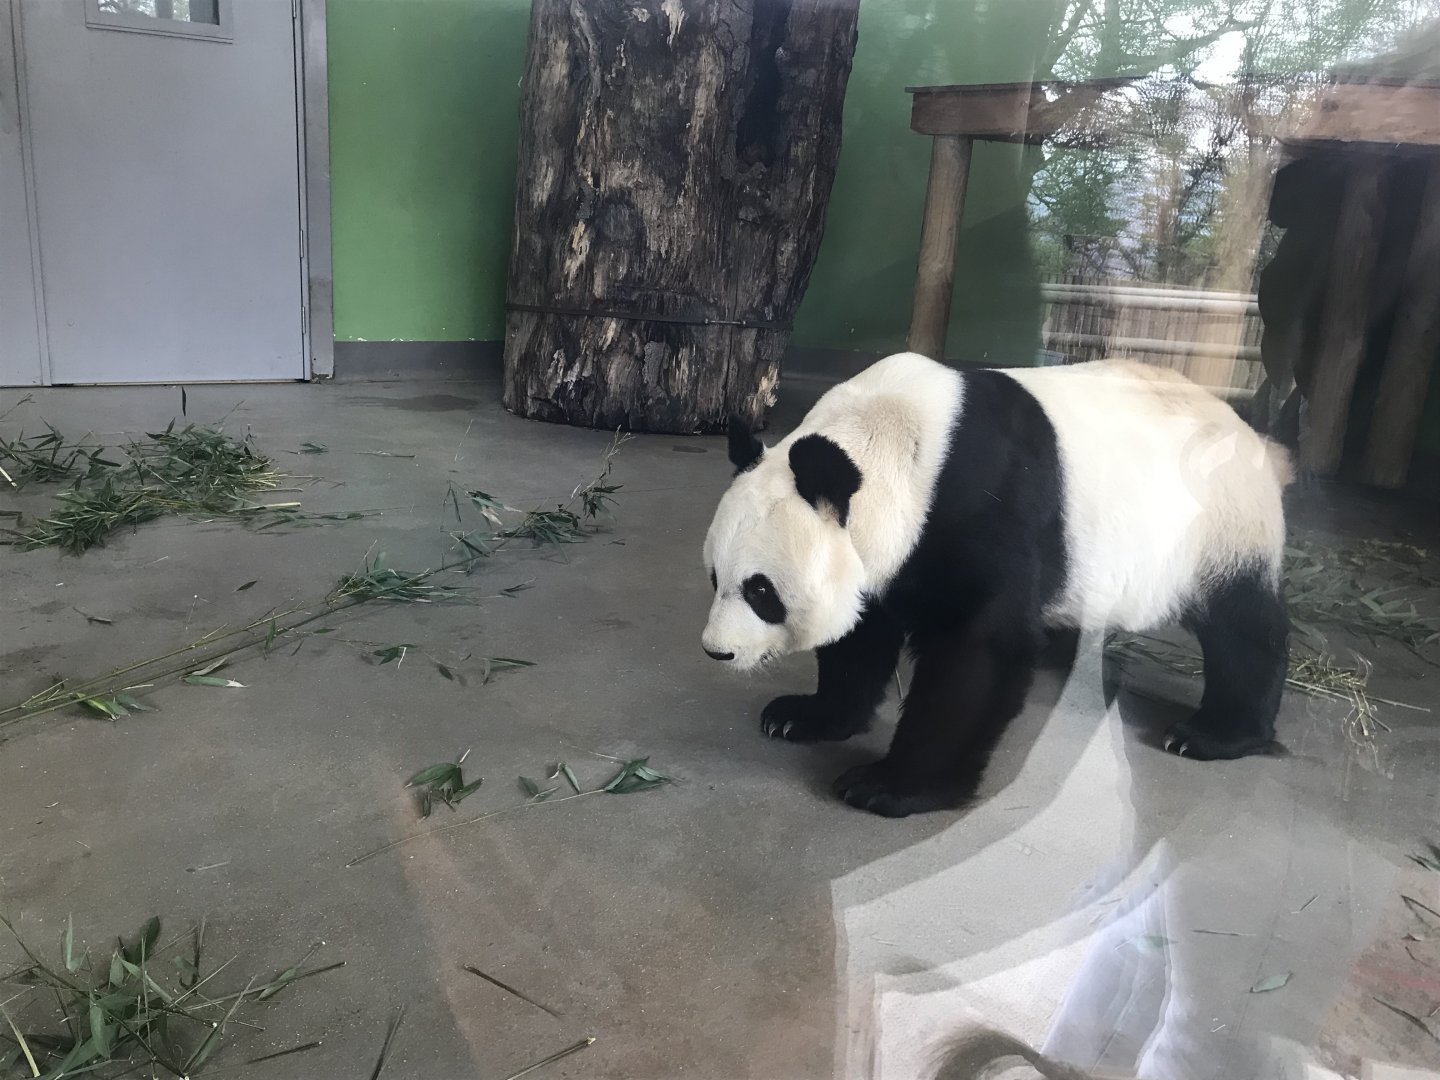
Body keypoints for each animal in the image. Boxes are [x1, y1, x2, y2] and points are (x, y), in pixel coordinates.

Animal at [700, 351, 1292, 818]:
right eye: (714, 577)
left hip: (1218, 526)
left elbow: (979, 649)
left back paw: (1213, 734)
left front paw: (888, 787)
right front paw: (802, 716)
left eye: (760, 592)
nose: (717, 652)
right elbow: (862, 635)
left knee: (1243, 627)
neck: (890, 446)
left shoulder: (977, 505)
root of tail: (1254, 437)